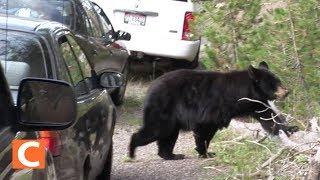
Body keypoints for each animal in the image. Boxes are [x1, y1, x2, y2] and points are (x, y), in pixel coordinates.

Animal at [129, 62, 298, 160]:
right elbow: (204, 127)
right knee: (156, 129)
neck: (240, 95)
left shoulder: (255, 105)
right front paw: (205, 152)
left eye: (278, 81)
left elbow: (269, 118)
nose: (287, 91)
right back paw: (132, 152)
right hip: (164, 107)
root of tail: (151, 86)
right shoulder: (214, 107)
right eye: (274, 83)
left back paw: (172, 155)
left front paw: (291, 128)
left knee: (168, 135)